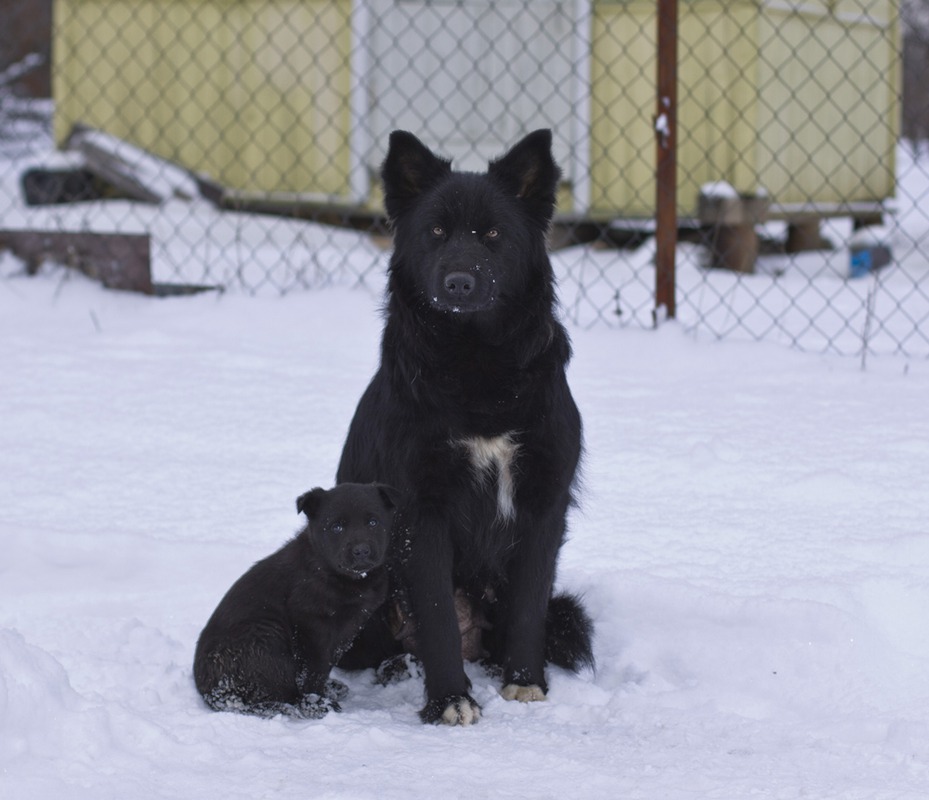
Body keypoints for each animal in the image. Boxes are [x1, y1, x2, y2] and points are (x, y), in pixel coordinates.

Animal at [194, 482, 396, 720]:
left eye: (373, 522)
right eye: (337, 527)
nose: (361, 551)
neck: (335, 576)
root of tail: (211, 692)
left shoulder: (348, 629)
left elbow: (326, 664)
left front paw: (323, 692)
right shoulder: (309, 625)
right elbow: (312, 670)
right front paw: (315, 703)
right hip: (266, 635)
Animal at [338, 130, 592, 724]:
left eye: (493, 234)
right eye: (435, 231)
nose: (458, 283)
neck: (477, 363)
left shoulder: (543, 503)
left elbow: (528, 603)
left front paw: (525, 682)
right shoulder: (421, 509)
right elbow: (436, 615)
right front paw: (450, 699)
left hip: (562, 610)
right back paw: (400, 669)